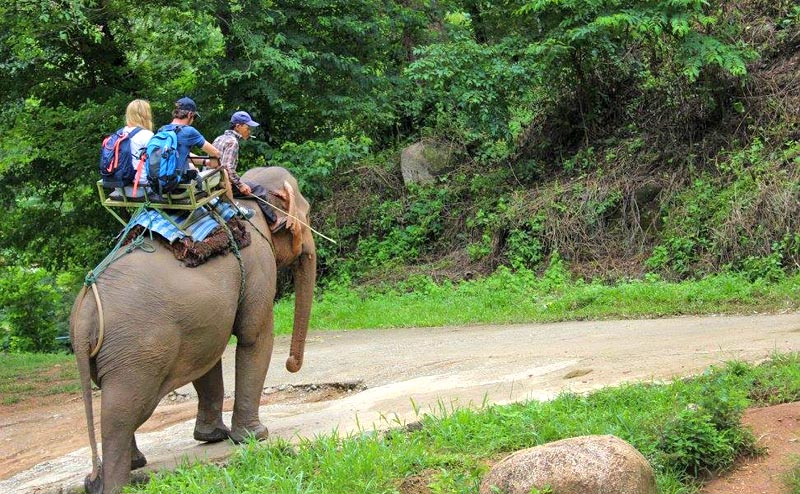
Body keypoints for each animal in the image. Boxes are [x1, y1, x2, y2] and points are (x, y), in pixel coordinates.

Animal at [71, 167, 316, 494]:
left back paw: (133, 466)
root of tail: (85, 314)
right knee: (122, 411)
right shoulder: (259, 262)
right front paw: (256, 436)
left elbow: (208, 358)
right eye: (308, 213)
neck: (250, 194)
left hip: (110, 354)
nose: (291, 364)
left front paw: (213, 437)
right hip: (136, 354)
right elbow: (255, 336)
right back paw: (119, 483)